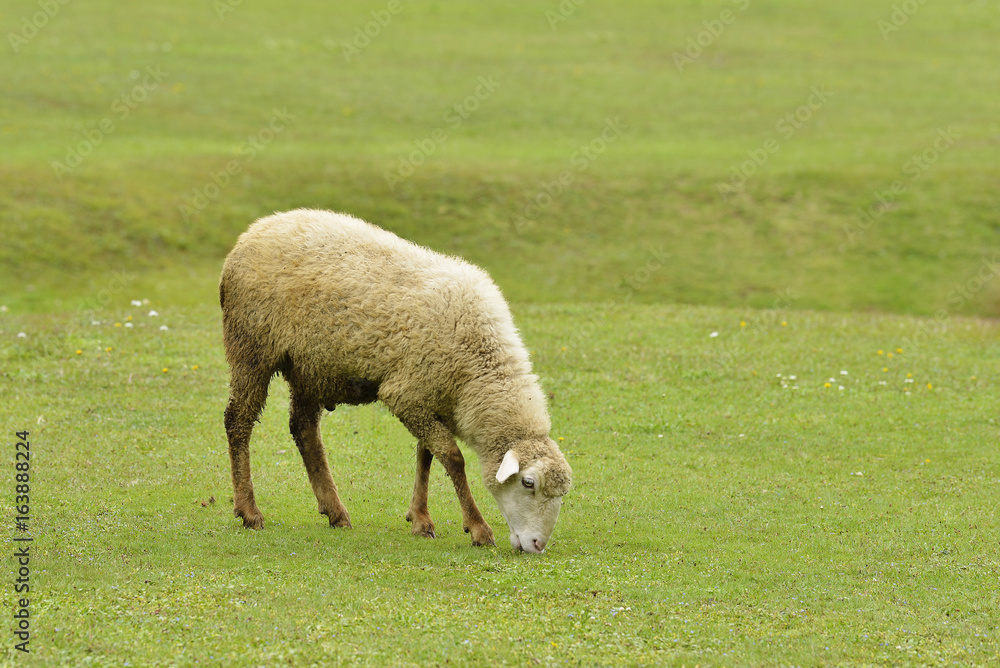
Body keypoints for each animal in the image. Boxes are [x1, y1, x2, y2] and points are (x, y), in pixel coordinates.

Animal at [219, 208, 572, 553]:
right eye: (528, 483)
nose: (538, 545)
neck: (478, 364)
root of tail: (255, 229)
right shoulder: (406, 394)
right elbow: (453, 459)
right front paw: (478, 528)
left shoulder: (431, 397)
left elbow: (426, 455)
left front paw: (420, 518)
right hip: (251, 345)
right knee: (239, 420)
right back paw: (249, 511)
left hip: (309, 366)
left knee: (304, 429)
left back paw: (335, 511)